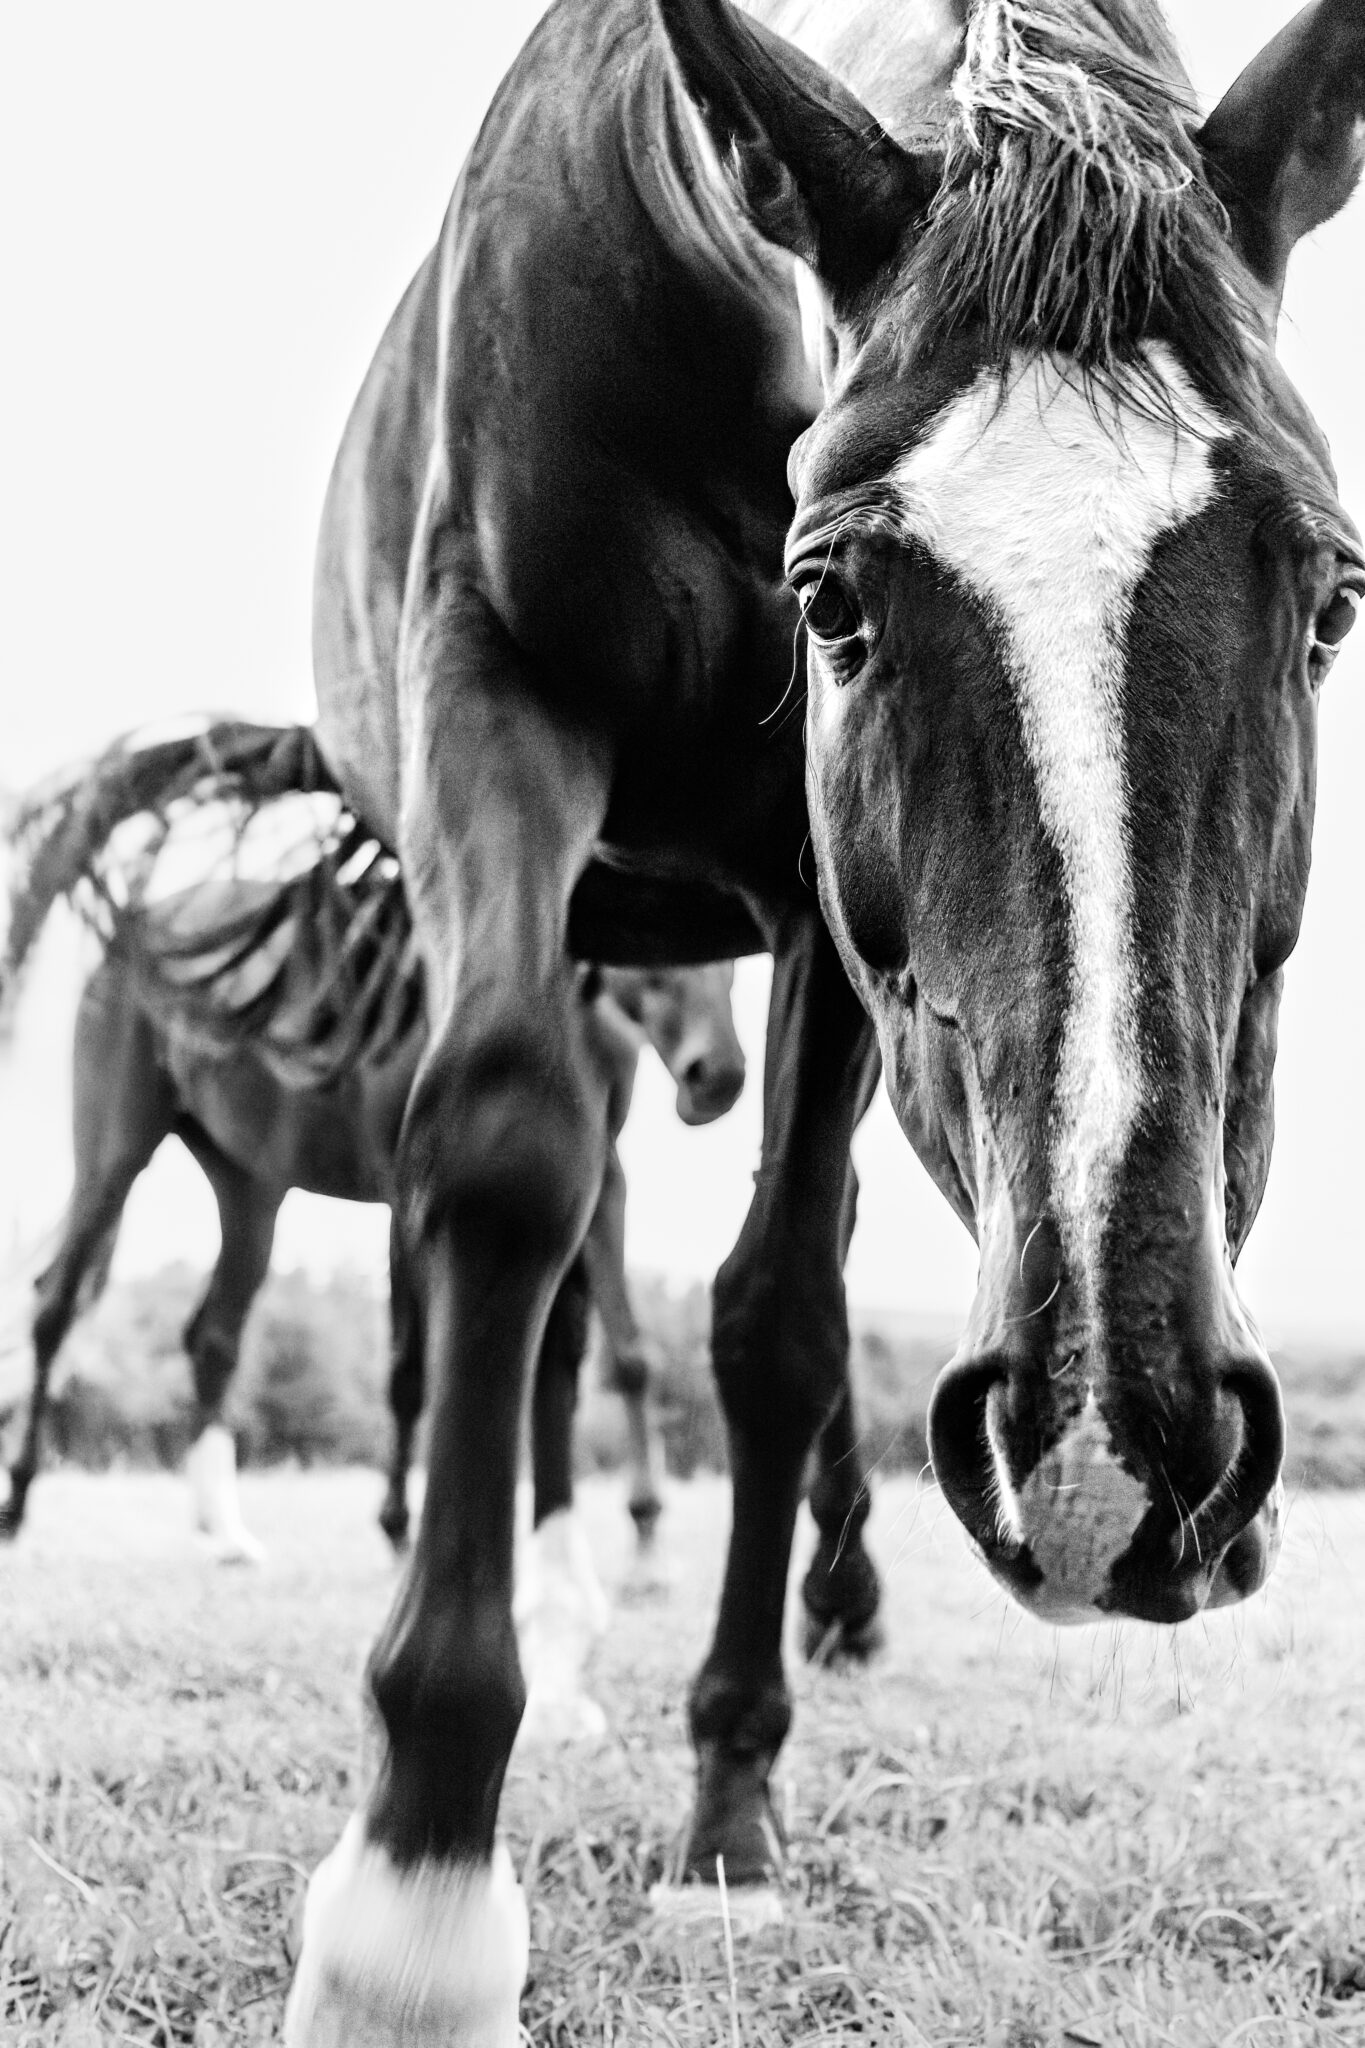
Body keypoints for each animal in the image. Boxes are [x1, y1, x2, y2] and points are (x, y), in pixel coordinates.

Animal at [185, 2, 1365, 2037]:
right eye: (835, 602)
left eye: (1333, 604)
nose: (1116, 1445)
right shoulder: (500, 690)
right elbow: (501, 1170)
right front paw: (416, 1889)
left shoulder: (819, 907)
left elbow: (785, 1311)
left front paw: (732, 1805)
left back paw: (848, 1595)